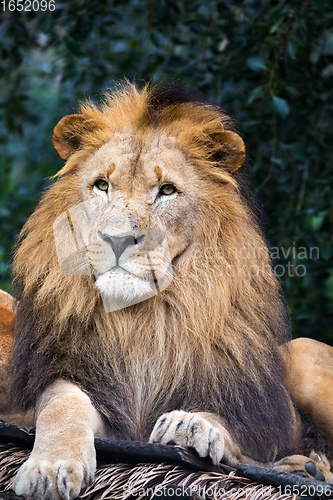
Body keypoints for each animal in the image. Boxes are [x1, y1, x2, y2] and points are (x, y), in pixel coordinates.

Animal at [2, 84, 332, 498]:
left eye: (167, 190)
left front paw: (190, 424)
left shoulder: (250, 408)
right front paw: (49, 468)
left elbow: (231, 430)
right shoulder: (79, 382)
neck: (144, 319)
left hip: (305, 354)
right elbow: (61, 403)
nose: (117, 239)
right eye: (102, 185)